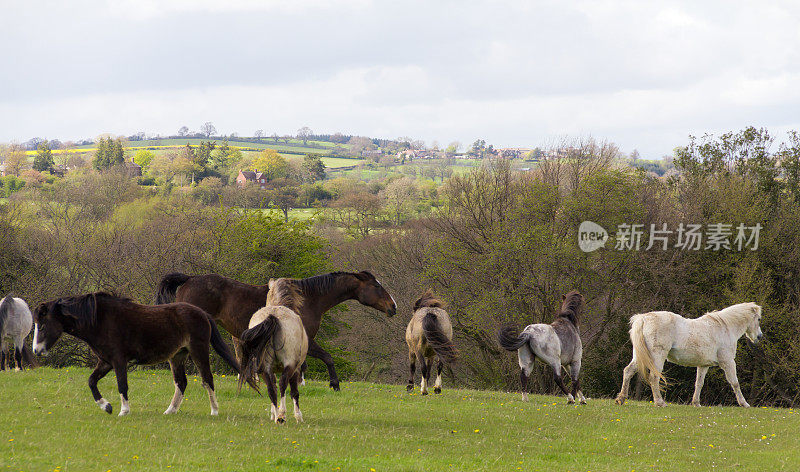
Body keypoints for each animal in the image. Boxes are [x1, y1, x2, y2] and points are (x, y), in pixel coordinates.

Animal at [32, 292, 258, 416]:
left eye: (42, 325)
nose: (36, 351)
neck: (99, 319)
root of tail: (202, 313)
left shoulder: (118, 361)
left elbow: (122, 385)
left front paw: (123, 411)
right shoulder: (105, 361)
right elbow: (91, 381)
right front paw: (106, 406)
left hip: (198, 351)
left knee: (207, 380)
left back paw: (214, 411)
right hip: (177, 356)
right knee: (181, 383)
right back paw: (170, 411)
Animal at [154, 272, 396, 390]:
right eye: (377, 286)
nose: (393, 306)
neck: (309, 298)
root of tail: (189, 279)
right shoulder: (306, 340)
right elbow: (327, 357)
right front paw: (334, 384)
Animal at [236, 280, 308, 424]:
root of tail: (273, 316)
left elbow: (273, 387)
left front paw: (272, 414)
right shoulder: (295, 369)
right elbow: (294, 392)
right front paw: (298, 416)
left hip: (263, 368)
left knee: (271, 389)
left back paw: (276, 416)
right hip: (289, 364)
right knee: (282, 384)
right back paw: (281, 415)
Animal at [616, 304, 764, 408]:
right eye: (758, 319)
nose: (759, 337)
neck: (725, 327)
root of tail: (644, 318)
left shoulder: (704, 365)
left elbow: (699, 383)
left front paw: (696, 403)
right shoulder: (728, 362)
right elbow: (735, 383)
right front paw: (744, 403)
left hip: (639, 356)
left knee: (628, 371)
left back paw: (621, 398)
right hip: (657, 357)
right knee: (654, 377)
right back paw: (660, 402)